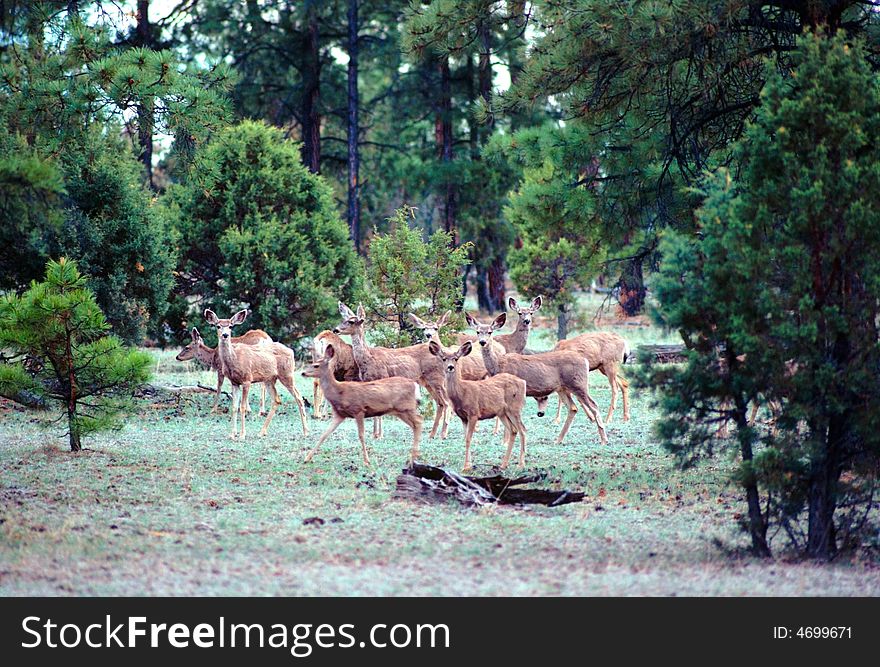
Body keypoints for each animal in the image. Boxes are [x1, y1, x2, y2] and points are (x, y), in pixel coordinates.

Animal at [203, 310, 310, 440]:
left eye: (231, 326)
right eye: (218, 326)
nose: (225, 335)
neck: (234, 359)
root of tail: (291, 351)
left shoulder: (247, 380)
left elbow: (242, 407)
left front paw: (242, 434)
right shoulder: (234, 382)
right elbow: (234, 407)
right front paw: (232, 434)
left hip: (287, 374)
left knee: (299, 397)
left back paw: (306, 431)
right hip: (270, 379)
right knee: (276, 400)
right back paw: (262, 432)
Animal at [332, 302, 454, 438]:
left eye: (351, 321)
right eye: (344, 319)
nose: (335, 330)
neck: (367, 358)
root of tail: (443, 353)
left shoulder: (382, 378)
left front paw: (379, 435)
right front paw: (375, 434)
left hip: (437, 378)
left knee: (447, 402)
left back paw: (443, 434)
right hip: (427, 382)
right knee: (441, 403)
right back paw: (432, 434)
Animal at [428, 342, 524, 472]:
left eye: (456, 358)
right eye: (444, 359)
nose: (450, 367)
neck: (461, 392)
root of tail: (523, 382)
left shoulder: (474, 413)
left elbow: (469, 438)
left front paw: (466, 466)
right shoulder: (463, 417)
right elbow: (465, 438)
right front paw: (469, 465)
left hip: (514, 408)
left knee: (523, 430)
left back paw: (521, 464)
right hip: (502, 412)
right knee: (514, 430)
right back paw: (504, 465)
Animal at [468, 314, 604, 448]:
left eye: (490, 332)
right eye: (478, 331)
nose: (482, 342)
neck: (498, 365)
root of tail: (585, 361)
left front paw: (505, 442)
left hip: (578, 384)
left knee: (594, 405)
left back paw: (603, 439)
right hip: (562, 388)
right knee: (573, 408)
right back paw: (558, 440)